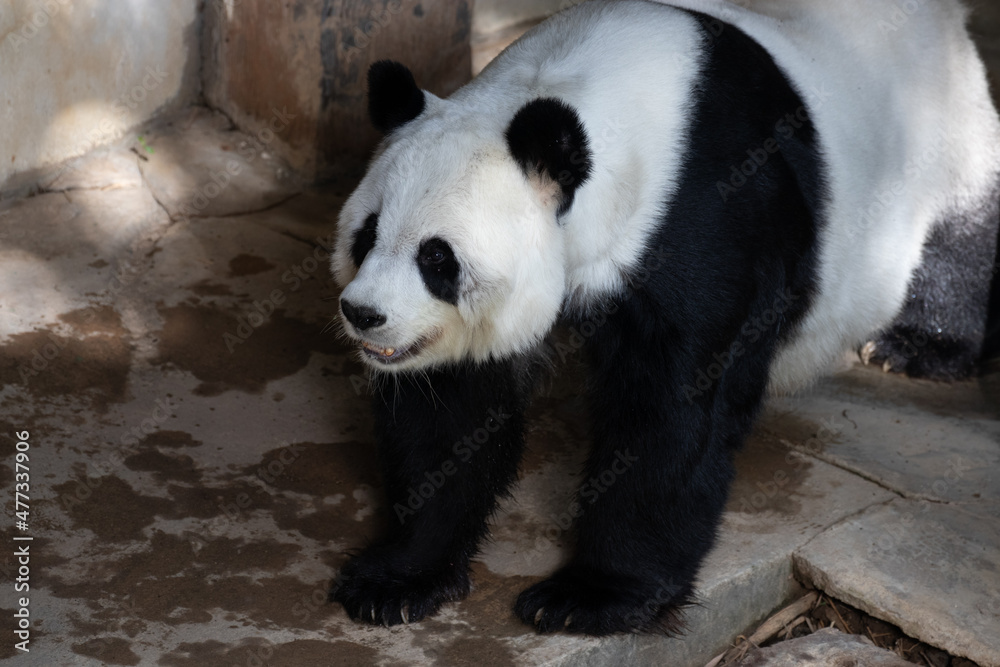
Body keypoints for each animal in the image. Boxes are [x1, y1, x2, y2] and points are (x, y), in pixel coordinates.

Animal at [330, 0, 1000, 636]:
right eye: (367, 237)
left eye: (436, 258)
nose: (363, 314)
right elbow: (450, 407)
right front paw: (398, 581)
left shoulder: (702, 215)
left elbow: (673, 410)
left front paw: (593, 598)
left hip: (937, 135)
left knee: (962, 227)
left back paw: (919, 346)